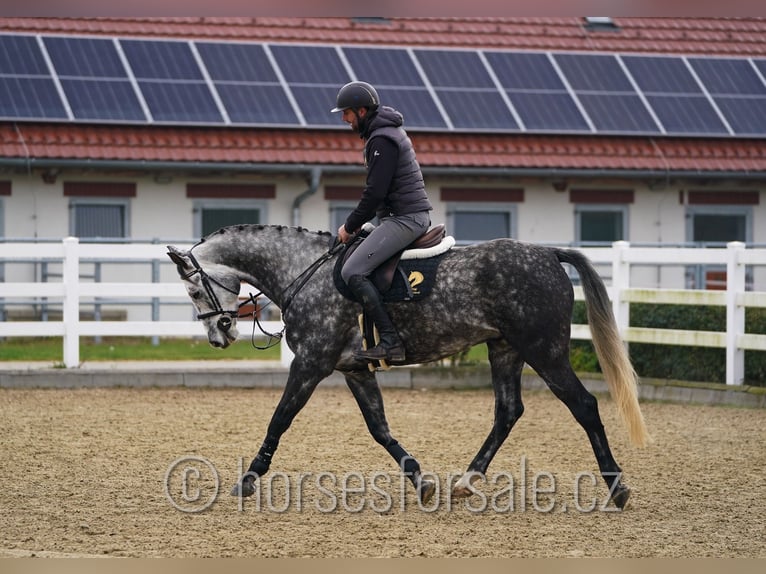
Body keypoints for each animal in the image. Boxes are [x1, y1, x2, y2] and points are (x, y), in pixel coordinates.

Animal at [167, 224, 649, 509]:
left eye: (193, 290)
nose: (219, 337)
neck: (304, 271)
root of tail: (548, 254)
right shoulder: (355, 370)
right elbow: (379, 428)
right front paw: (420, 480)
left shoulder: (310, 364)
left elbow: (279, 419)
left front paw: (248, 479)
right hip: (505, 349)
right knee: (508, 411)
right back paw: (466, 481)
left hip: (543, 349)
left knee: (583, 405)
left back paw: (617, 487)